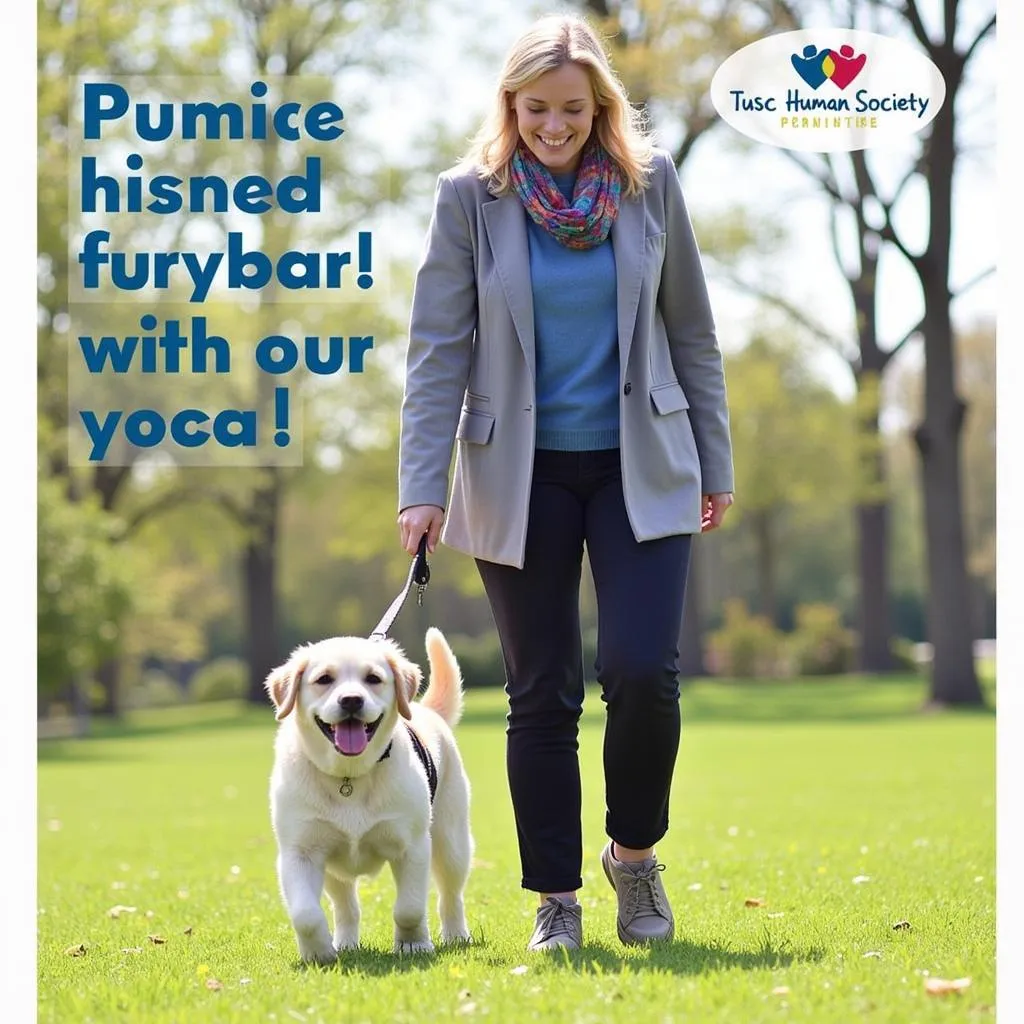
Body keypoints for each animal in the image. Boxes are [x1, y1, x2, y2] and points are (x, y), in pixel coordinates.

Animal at [262, 622, 473, 958]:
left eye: (373, 679)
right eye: (324, 679)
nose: (351, 700)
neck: (349, 775)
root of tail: (427, 710)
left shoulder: (413, 847)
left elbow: (409, 908)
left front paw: (413, 945)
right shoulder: (299, 852)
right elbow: (305, 915)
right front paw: (318, 953)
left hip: (451, 843)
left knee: (451, 895)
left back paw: (456, 936)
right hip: (334, 871)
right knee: (346, 906)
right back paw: (346, 943)